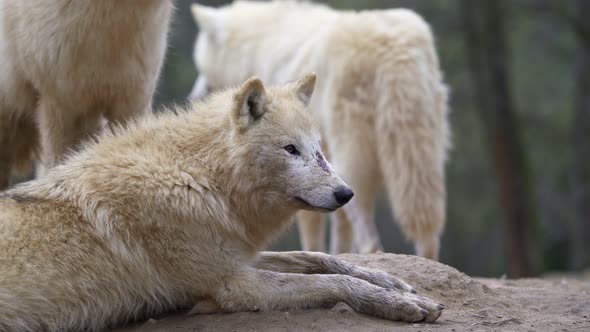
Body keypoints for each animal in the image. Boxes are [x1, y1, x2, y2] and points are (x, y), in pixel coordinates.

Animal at [0, 75, 444, 332]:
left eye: (319, 149)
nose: (345, 194)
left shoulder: (236, 255)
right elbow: (330, 282)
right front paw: (402, 305)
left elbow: (321, 259)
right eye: (291, 149)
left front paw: (394, 283)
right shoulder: (234, 285)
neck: (201, 177)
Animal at [192, 0, 450, 260]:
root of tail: (394, 52)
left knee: (370, 240)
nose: (193, 96)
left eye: (201, 67)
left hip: (353, 159)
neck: (263, 46)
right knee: (427, 228)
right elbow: (340, 229)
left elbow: (313, 228)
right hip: (421, 156)